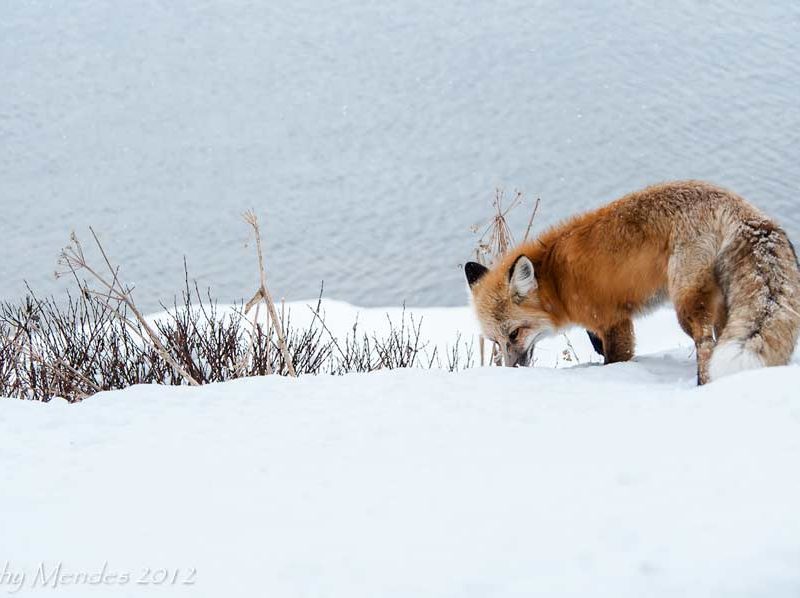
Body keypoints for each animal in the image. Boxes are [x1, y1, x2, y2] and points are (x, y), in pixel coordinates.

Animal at [462, 180, 800, 384]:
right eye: (495, 341)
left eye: (515, 334)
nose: (512, 372)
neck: (557, 280)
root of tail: (740, 207)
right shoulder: (599, 326)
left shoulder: (613, 321)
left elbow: (614, 361)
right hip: (723, 305)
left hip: (686, 303)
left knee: (706, 344)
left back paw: (703, 385)